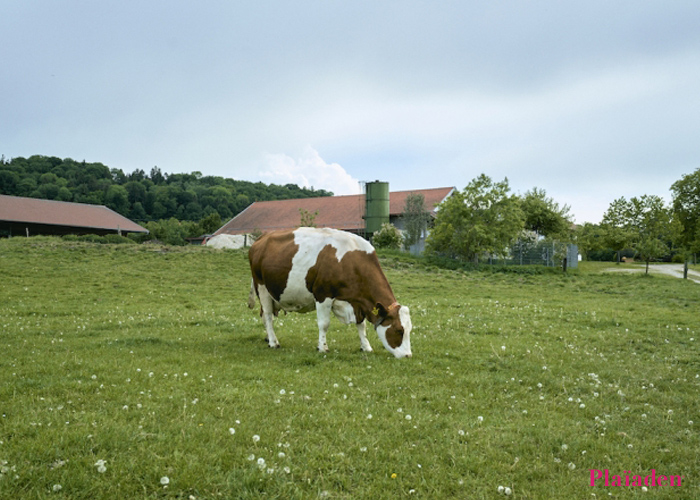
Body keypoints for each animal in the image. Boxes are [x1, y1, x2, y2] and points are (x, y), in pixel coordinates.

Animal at [247, 227, 412, 360]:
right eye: (399, 330)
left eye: (409, 330)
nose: (407, 355)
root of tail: (262, 238)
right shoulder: (322, 295)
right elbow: (324, 324)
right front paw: (323, 347)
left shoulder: (357, 303)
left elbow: (361, 325)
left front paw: (366, 346)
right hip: (262, 287)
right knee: (268, 316)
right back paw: (273, 342)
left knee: (263, 315)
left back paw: (268, 339)